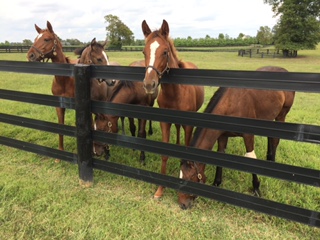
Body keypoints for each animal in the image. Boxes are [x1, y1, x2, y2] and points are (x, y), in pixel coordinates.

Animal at [26, 21, 79, 163]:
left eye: (46, 39)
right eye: (35, 39)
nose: (30, 55)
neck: (65, 80)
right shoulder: (58, 106)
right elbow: (60, 126)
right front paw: (59, 155)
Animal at [142, 19, 205, 199]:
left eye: (165, 52)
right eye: (144, 52)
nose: (149, 84)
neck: (175, 92)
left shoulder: (188, 125)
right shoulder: (165, 122)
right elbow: (165, 153)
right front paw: (160, 189)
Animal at [178, 66, 296, 210]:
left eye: (189, 178)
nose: (182, 204)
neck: (230, 104)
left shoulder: (248, 136)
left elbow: (251, 158)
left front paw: (256, 188)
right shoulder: (222, 136)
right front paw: (217, 183)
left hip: (281, 115)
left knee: (275, 139)